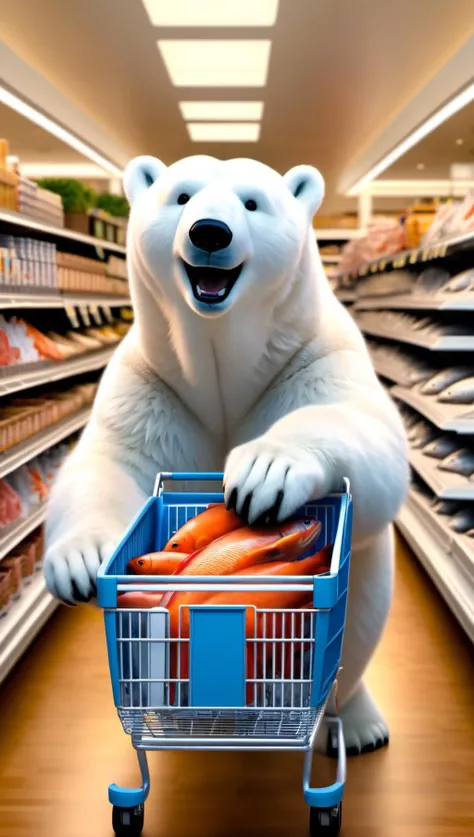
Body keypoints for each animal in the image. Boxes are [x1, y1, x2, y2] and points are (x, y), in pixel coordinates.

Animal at [44, 154, 409, 754]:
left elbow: (370, 436)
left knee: (357, 623)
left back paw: (357, 725)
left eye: (252, 202)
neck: (223, 358)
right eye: (182, 196)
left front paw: (266, 470)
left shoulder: (309, 355)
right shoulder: (155, 379)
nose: (209, 232)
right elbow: (112, 455)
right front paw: (80, 559)